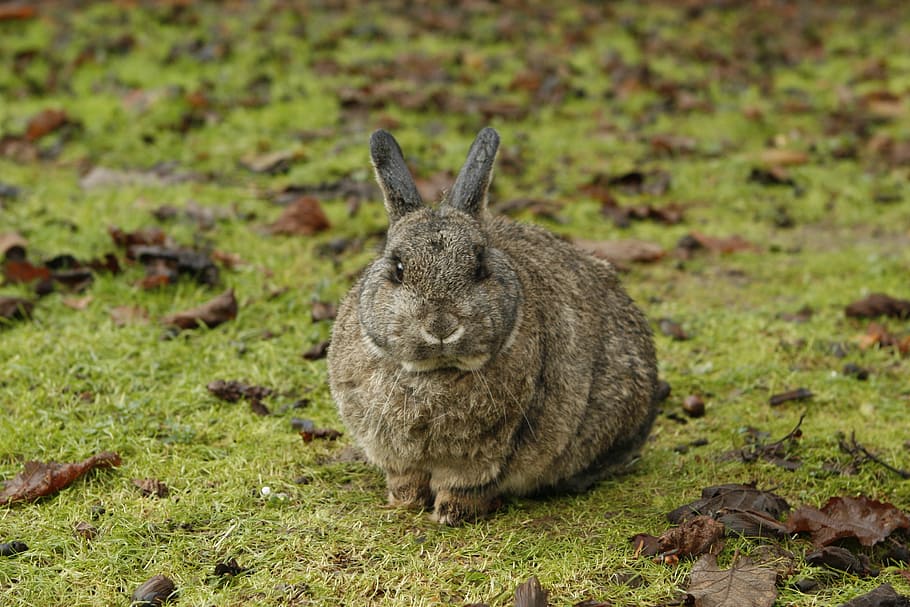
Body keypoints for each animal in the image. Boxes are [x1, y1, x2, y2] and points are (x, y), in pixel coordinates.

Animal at [328, 127, 659, 525]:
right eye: (399, 268)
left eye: (479, 268)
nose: (441, 326)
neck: (436, 373)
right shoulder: (393, 452)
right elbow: (406, 479)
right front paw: (404, 502)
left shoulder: (487, 452)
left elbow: (466, 484)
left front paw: (450, 513)